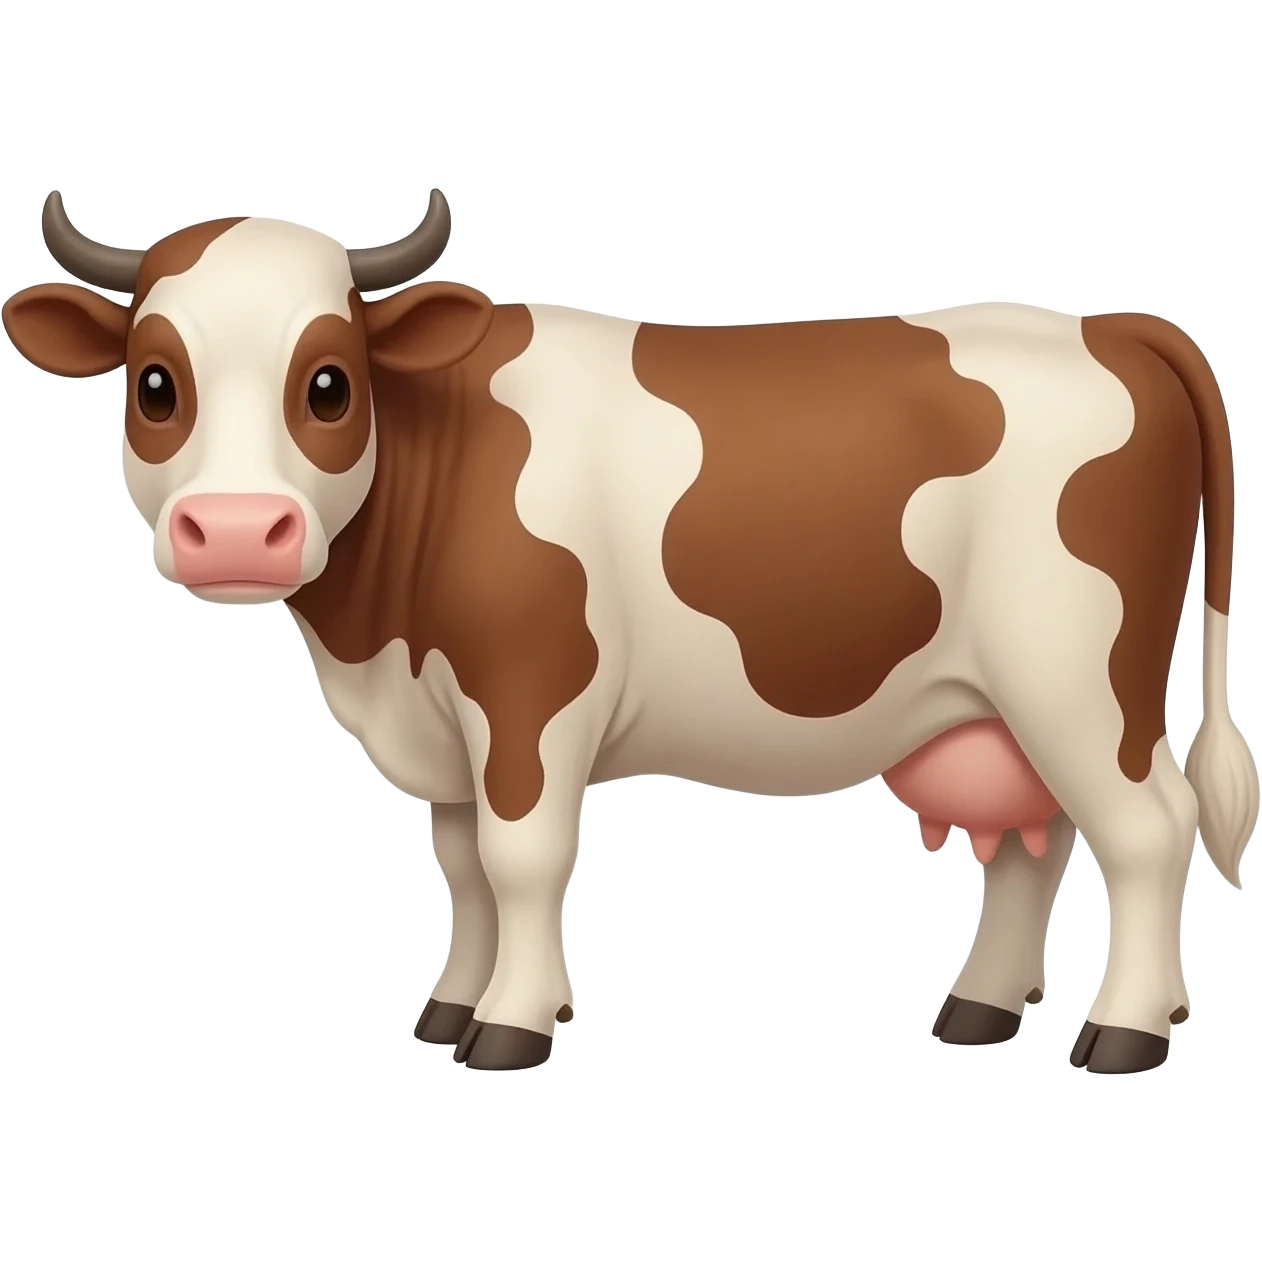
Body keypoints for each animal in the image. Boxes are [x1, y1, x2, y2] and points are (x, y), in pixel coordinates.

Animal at [2, 190, 1256, 1075]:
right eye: (154, 384)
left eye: (327, 384)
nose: (235, 531)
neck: (377, 641)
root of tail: (1102, 324)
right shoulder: (450, 726)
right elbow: (462, 864)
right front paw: (449, 1004)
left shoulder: (529, 691)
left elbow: (519, 857)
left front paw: (512, 1023)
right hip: (999, 698)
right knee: (1033, 844)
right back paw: (978, 1006)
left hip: (1078, 676)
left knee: (1147, 830)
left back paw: (1126, 1029)